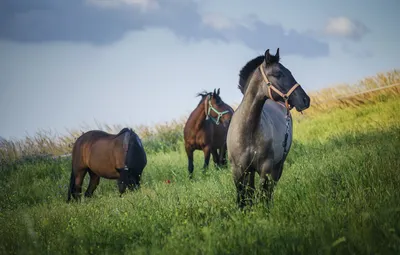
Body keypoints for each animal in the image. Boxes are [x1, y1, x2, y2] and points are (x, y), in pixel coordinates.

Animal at [227, 48, 310, 209]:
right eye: (278, 74)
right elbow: (243, 197)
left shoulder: (265, 168)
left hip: (278, 166)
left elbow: (262, 195)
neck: (248, 131)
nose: (305, 100)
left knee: (270, 189)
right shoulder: (238, 170)